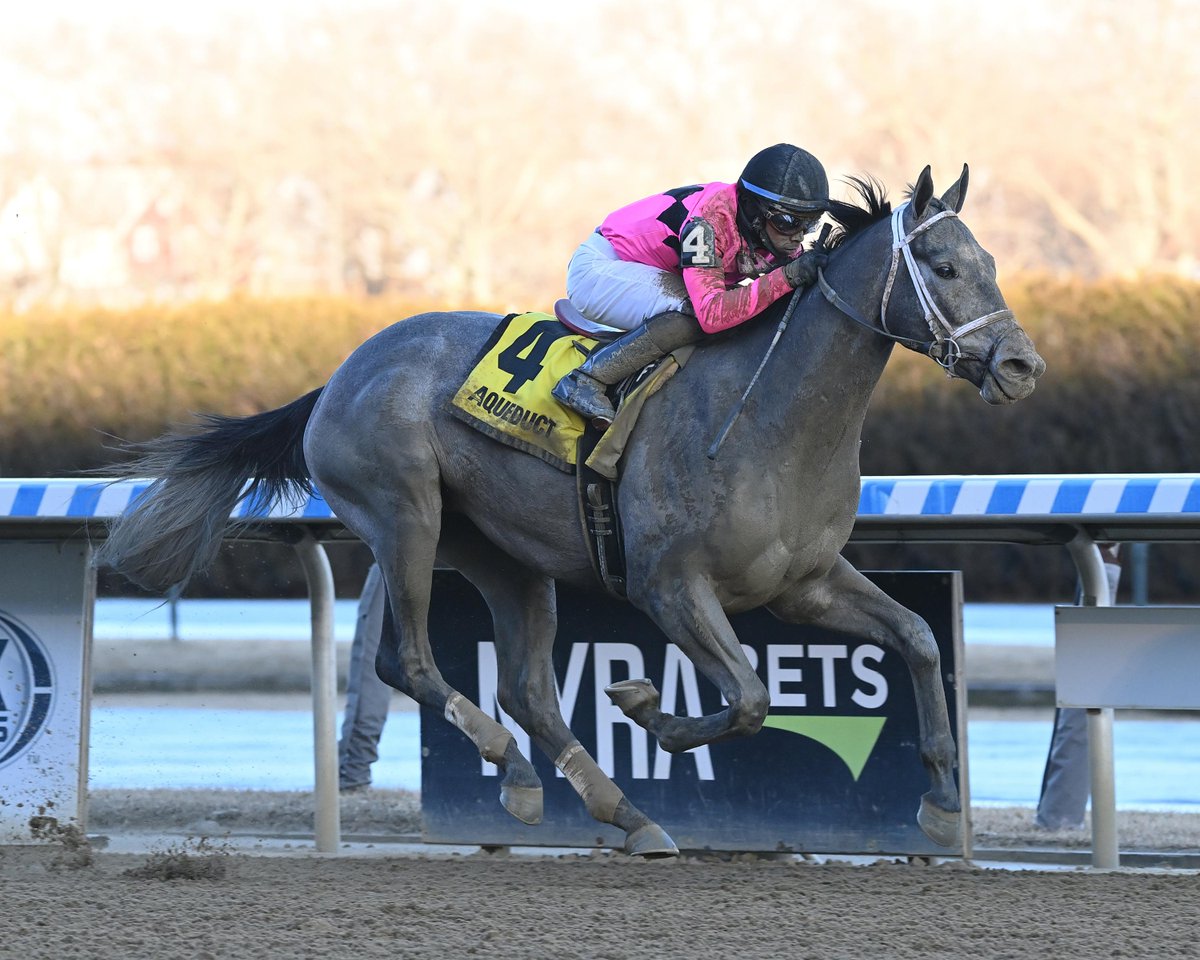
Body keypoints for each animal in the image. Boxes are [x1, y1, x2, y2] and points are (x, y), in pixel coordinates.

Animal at [100, 165, 1041, 854]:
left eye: (992, 264)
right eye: (946, 268)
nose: (1022, 366)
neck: (768, 415)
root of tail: (339, 374)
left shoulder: (801, 584)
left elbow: (918, 640)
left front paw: (943, 800)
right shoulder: (670, 586)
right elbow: (745, 698)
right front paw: (646, 705)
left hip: (505, 558)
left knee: (527, 690)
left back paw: (613, 809)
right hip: (406, 516)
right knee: (410, 663)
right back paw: (509, 765)